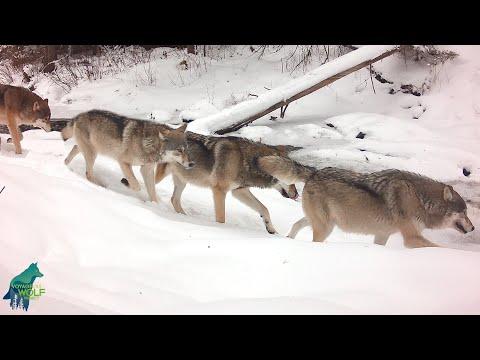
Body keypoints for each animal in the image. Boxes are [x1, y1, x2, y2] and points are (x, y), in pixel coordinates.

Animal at [61, 109, 192, 202]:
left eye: (186, 149)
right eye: (179, 150)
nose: (191, 164)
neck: (148, 143)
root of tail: (79, 115)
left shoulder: (147, 169)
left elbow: (152, 192)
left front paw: (155, 206)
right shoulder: (123, 162)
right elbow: (136, 185)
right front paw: (133, 190)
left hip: (91, 149)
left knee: (75, 149)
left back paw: (65, 165)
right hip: (92, 153)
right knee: (88, 174)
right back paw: (102, 186)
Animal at [152, 132, 300, 233]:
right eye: (292, 180)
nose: (297, 194)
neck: (245, 160)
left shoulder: (239, 191)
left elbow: (264, 208)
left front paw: (271, 229)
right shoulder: (219, 190)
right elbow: (221, 218)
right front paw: (221, 230)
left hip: (182, 180)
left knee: (174, 200)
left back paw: (186, 218)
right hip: (161, 175)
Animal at [258, 155, 472, 248]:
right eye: (464, 213)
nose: (473, 228)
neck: (420, 199)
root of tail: (314, 172)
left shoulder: (382, 235)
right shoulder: (412, 238)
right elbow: (445, 249)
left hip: (321, 223)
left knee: (296, 224)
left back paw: (289, 240)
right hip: (325, 228)